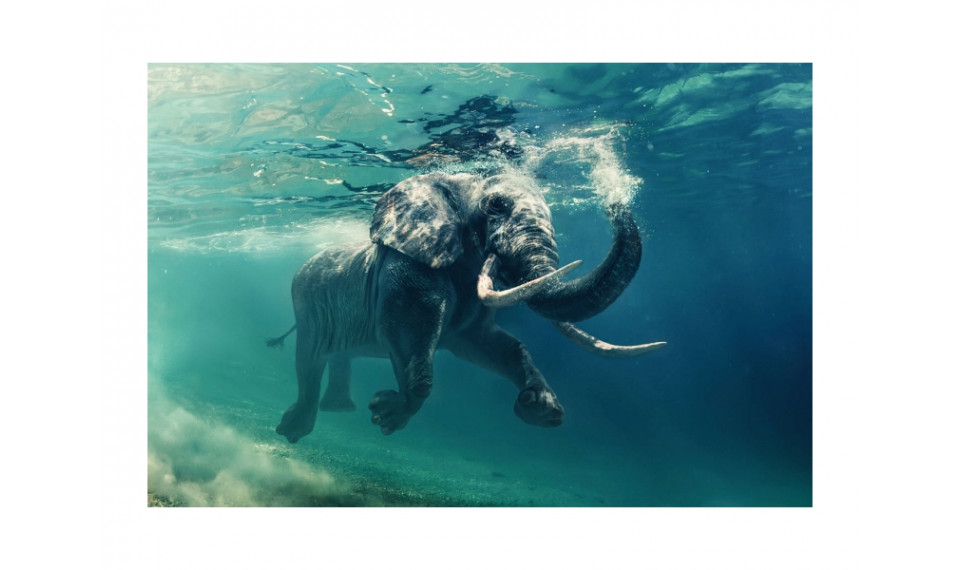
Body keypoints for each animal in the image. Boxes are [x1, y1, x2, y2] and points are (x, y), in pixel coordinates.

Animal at [270, 171, 666, 443]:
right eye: (496, 206)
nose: (614, 200)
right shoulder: (408, 270)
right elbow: (411, 337)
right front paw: (386, 415)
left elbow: (494, 345)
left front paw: (540, 408)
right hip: (305, 301)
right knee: (309, 359)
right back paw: (292, 430)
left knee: (336, 356)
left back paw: (336, 411)